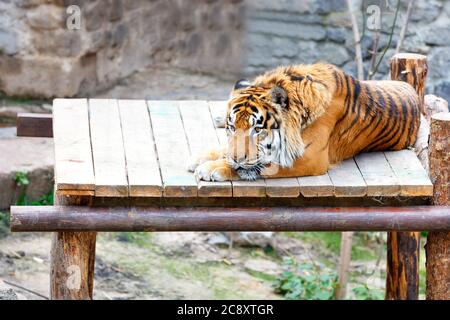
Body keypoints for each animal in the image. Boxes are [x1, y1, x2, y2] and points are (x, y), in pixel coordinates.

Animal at [187, 63, 422, 182]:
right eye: (233, 127)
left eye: (257, 129)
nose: (237, 159)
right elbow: (225, 148)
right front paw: (199, 159)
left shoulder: (310, 158)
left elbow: (261, 163)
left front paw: (211, 168)